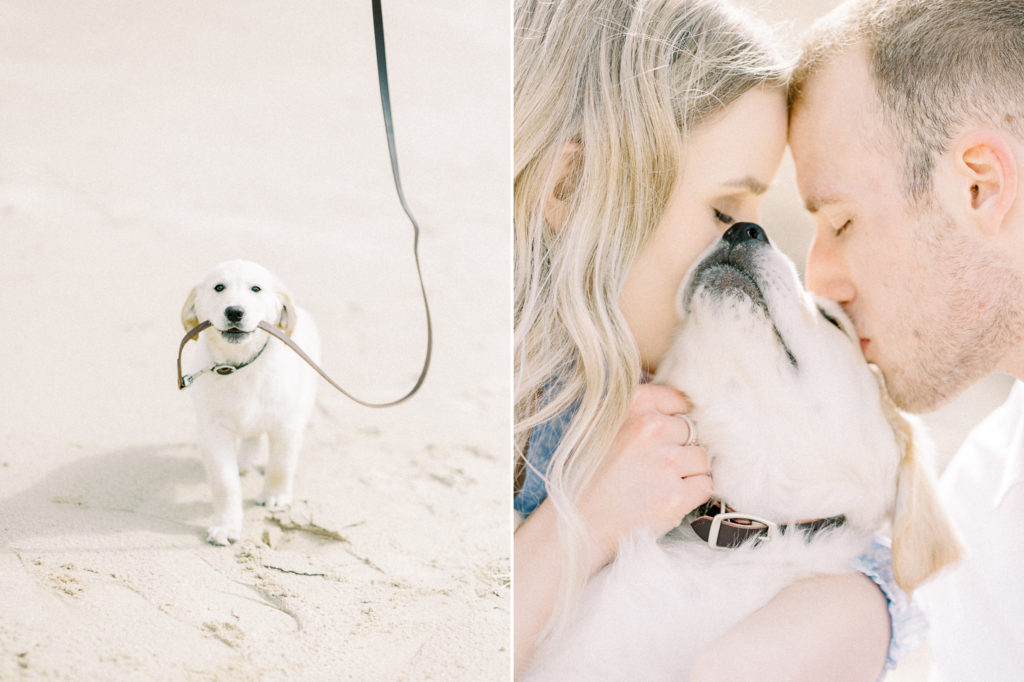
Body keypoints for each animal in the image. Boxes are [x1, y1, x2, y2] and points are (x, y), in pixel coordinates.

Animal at [179, 258, 315, 544]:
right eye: (219, 287)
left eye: (256, 289)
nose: (234, 312)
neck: (240, 366)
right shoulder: (213, 431)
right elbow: (225, 483)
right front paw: (226, 525)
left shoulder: (286, 425)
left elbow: (281, 464)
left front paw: (275, 496)